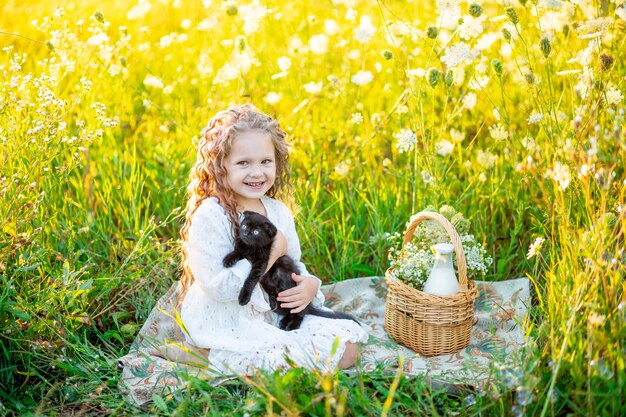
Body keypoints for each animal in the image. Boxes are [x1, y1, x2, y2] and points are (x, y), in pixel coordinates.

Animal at [225, 211, 358, 332]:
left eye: (256, 232)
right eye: (244, 226)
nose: (245, 233)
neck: (251, 248)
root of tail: (308, 305)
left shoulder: (262, 262)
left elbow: (251, 279)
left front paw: (244, 297)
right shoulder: (244, 249)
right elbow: (237, 252)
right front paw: (228, 260)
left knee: (299, 313)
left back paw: (292, 325)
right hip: (278, 303)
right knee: (289, 312)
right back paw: (284, 322)